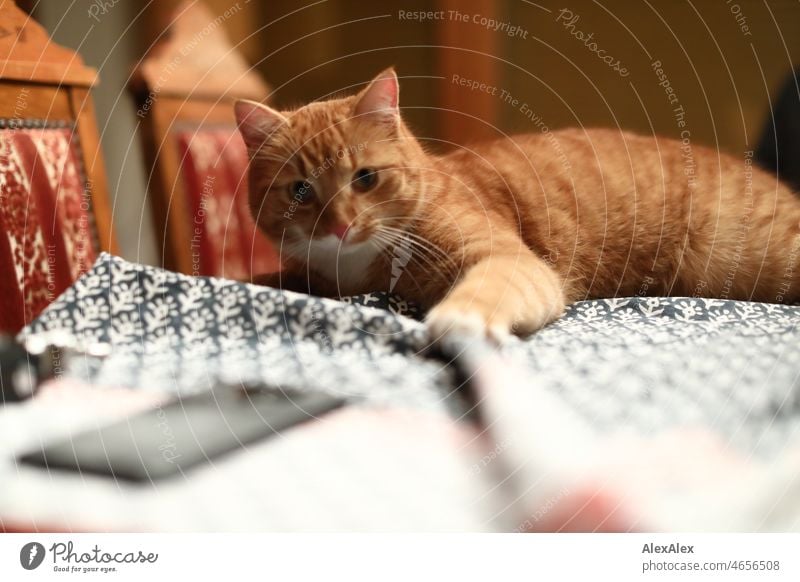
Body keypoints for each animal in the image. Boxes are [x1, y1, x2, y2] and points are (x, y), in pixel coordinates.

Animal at [234, 68, 800, 342]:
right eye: (300, 191)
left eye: (366, 178)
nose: (341, 225)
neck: (353, 271)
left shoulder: (507, 259)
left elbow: (484, 291)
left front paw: (457, 321)